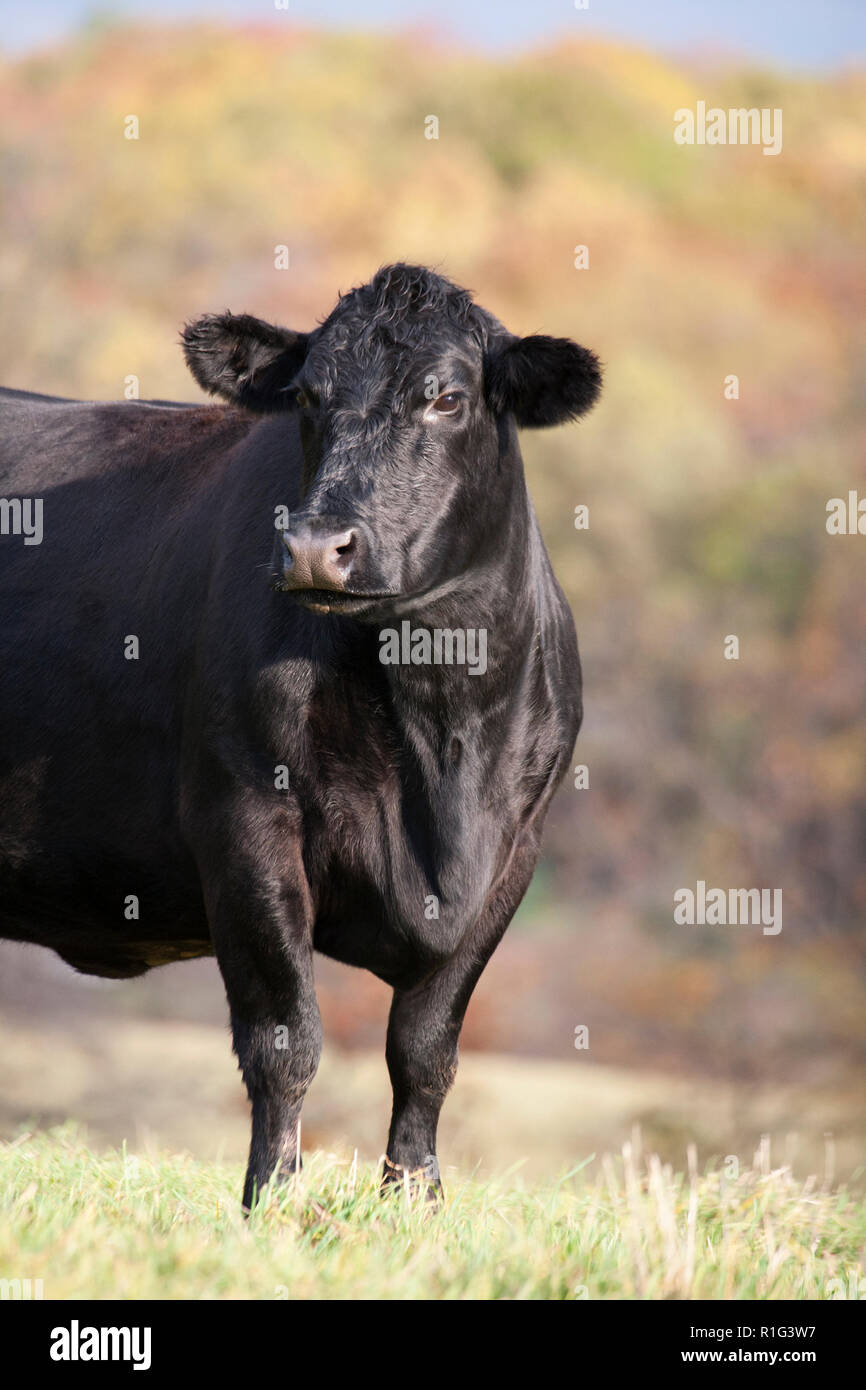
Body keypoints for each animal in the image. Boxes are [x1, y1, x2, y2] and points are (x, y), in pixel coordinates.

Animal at [0, 264, 601, 1208]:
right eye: (310, 396)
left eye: (448, 398)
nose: (318, 547)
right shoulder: (246, 820)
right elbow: (286, 1040)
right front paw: (272, 1201)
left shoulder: (514, 855)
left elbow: (425, 1052)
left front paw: (415, 1201)